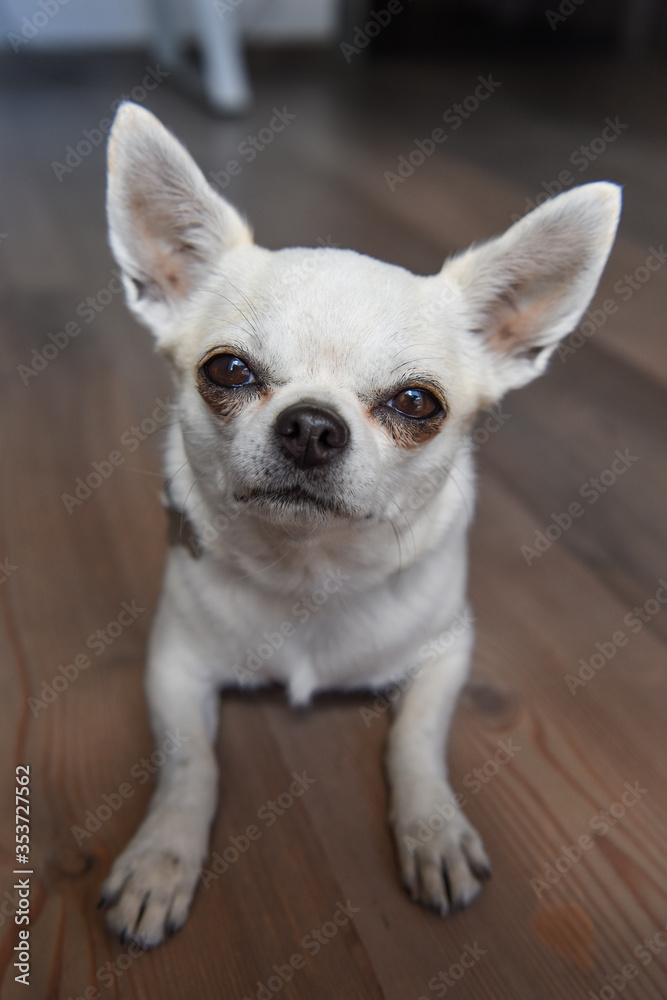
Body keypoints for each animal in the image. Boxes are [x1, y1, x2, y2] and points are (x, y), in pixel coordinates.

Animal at [99, 101, 620, 944]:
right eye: (227, 370)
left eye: (416, 403)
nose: (312, 425)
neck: (312, 572)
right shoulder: (172, 666)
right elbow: (190, 763)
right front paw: (159, 859)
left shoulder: (447, 653)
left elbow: (416, 738)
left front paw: (433, 832)